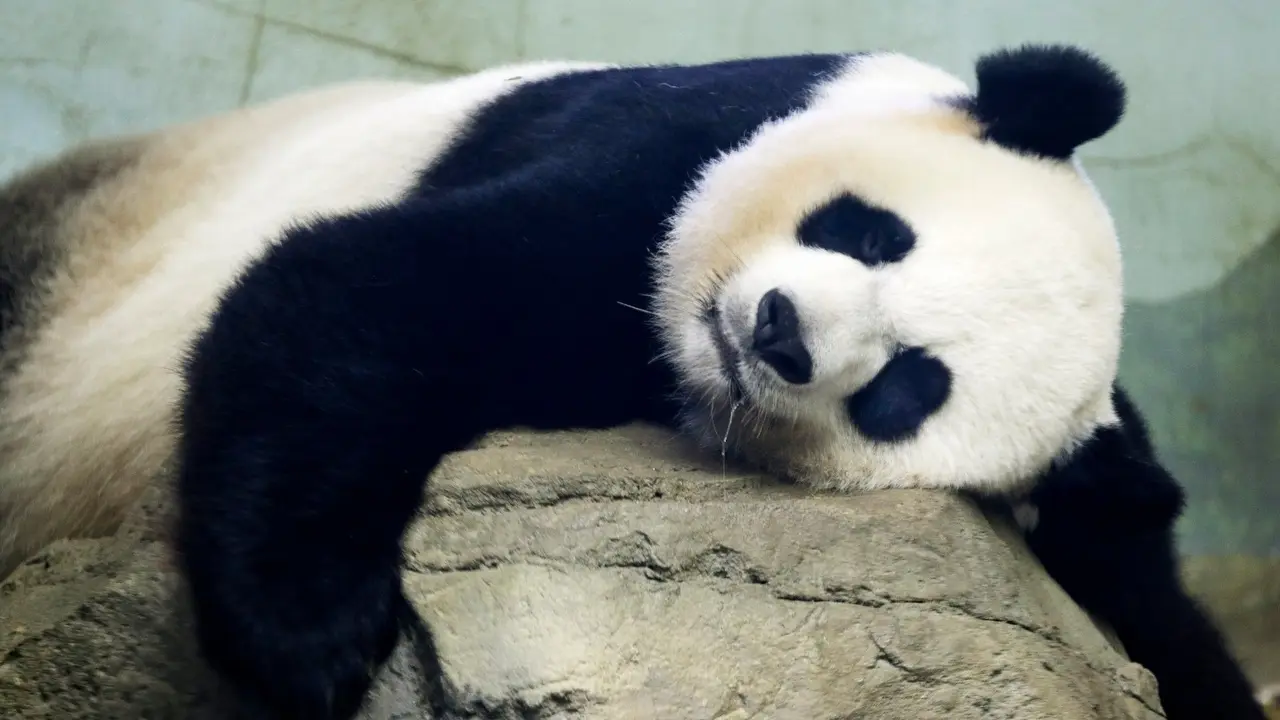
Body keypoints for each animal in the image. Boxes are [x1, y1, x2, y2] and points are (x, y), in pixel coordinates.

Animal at [0, 44, 1262, 720]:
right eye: (869, 233)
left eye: (906, 388)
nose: (776, 332)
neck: (667, 359)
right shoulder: (666, 150)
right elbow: (365, 285)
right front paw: (309, 636)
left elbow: (1149, 594)